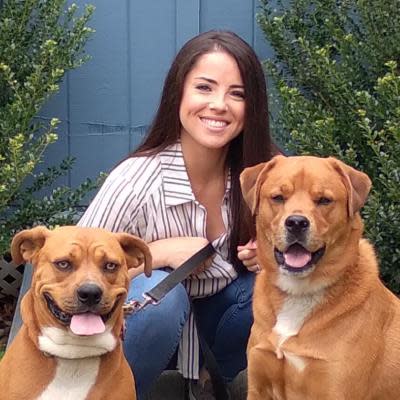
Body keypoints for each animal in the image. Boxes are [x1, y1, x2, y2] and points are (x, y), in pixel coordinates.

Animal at [241, 156, 400, 400]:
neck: (298, 293)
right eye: (278, 197)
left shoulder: (334, 389)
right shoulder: (258, 387)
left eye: (324, 200)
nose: (296, 222)